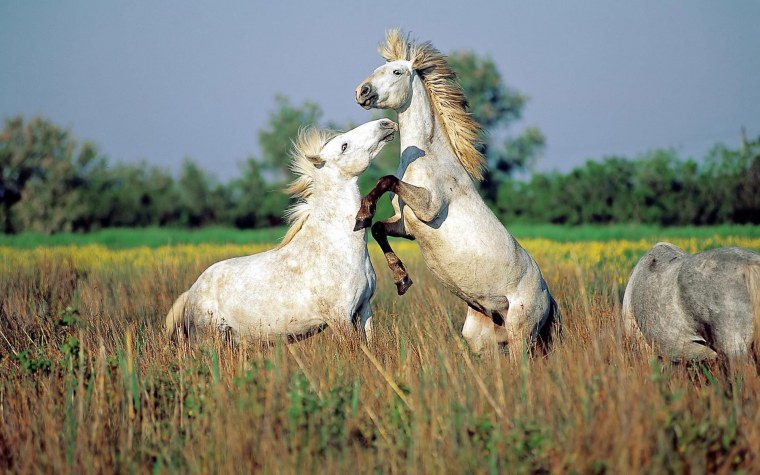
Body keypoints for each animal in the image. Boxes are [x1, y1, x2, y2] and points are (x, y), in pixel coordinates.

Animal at [165, 119, 398, 343]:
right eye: (344, 146)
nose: (386, 123)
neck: (336, 248)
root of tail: (191, 292)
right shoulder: (339, 318)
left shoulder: (364, 309)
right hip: (209, 340)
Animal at [353, 29, 560, 359]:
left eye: (397, 72)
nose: (362, 91)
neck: (429, 158)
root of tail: (548, 298)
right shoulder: (407, 225)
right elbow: (377, 229)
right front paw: (402, 280)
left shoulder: (429, 208)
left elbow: (386, 180)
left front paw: (362, 213)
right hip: (482, 337)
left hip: (521, 334)